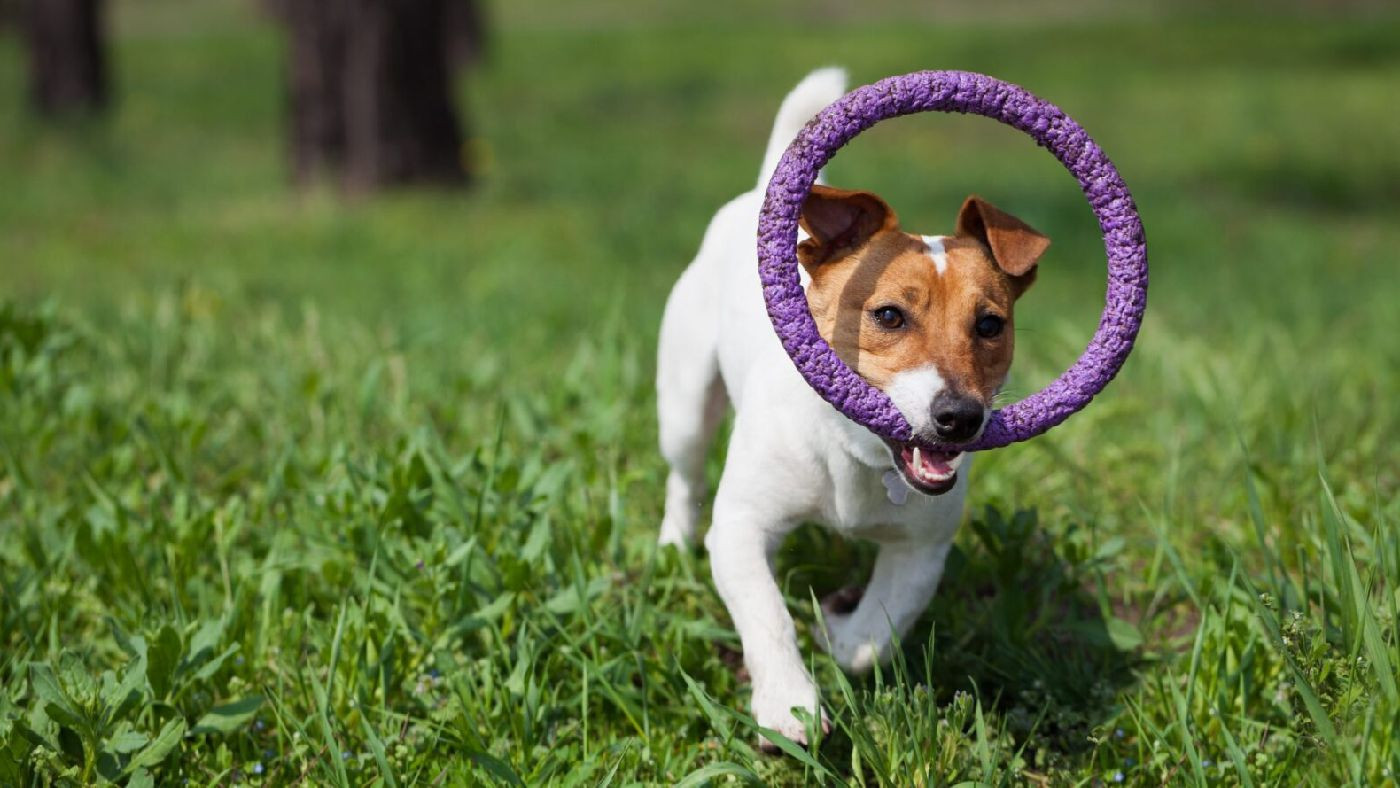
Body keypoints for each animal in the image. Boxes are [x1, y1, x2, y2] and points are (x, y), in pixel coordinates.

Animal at [655, 67, 1052, 744]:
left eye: (990, 325)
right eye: (889, 315)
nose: (959, 418)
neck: (857, 456)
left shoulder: (921, 549)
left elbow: (879, 633)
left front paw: (839, 633)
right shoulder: (740, 528)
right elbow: (766, 613)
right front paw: (788, 702)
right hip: (683, 402)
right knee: (684, 476)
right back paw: (670, 544)